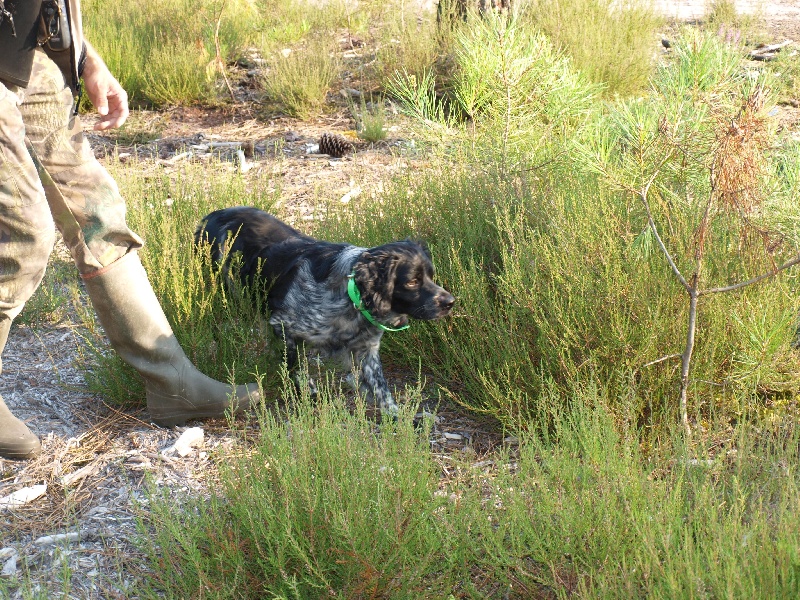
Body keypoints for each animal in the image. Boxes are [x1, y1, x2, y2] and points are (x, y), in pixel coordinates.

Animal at [194, 204, 456, 414]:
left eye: (431, 276)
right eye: (412, 281)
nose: (450, 302)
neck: (351, 297)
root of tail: (211, 216)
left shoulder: (367, 350)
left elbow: (381, 389)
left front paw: (399, 418)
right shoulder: (285, 326)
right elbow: (296, 366)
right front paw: (306, 392)